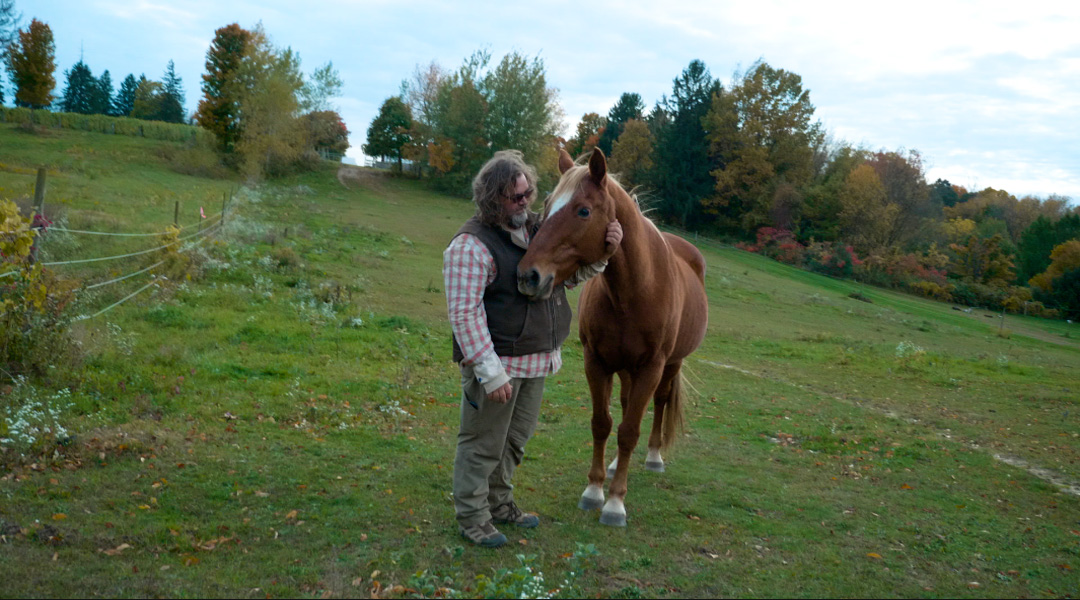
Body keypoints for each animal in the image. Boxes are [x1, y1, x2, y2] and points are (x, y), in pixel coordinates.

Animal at [517, 148, 709, 526]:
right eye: (546, 204)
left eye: (583, 211)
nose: (529, 276)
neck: (636, 289)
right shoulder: (597, 362)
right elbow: (603, 424)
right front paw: (594, 490)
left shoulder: (651, 367)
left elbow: (630, 430)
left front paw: (616, 502)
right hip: (625, 368)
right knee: (624, 406)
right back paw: (618, 462)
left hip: (671, 364)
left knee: (659, 403)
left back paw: (653, 457)